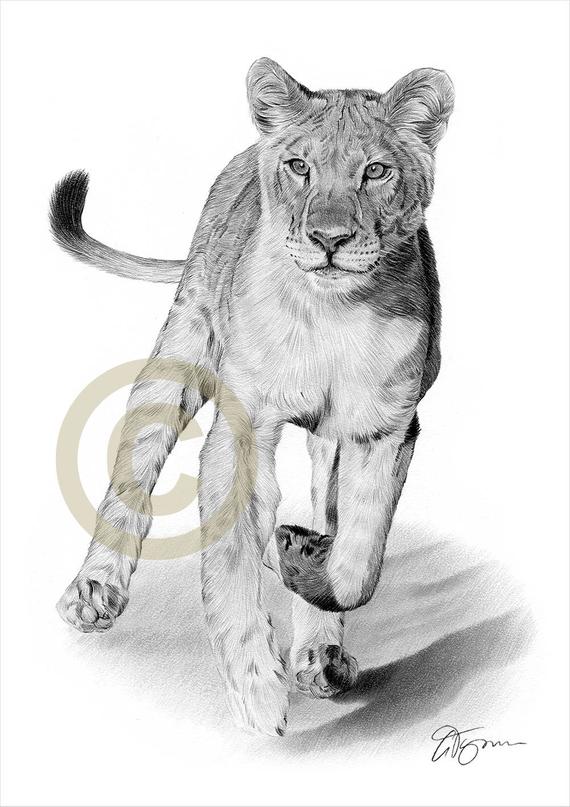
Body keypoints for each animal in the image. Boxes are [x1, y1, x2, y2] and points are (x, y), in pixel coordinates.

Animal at [51, 58, 454, 736]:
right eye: (300, 167)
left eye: (376, 171)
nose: (328, 238)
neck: (331, 314)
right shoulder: (241, 433)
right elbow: (231, 566)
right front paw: (259, 694)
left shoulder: (384, 428)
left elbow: (358, 558)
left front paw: (305, 564)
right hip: (180, 350)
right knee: (134, 472)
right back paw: (95, 591)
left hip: (328, 441)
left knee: (324, 509)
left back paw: (316, 637)